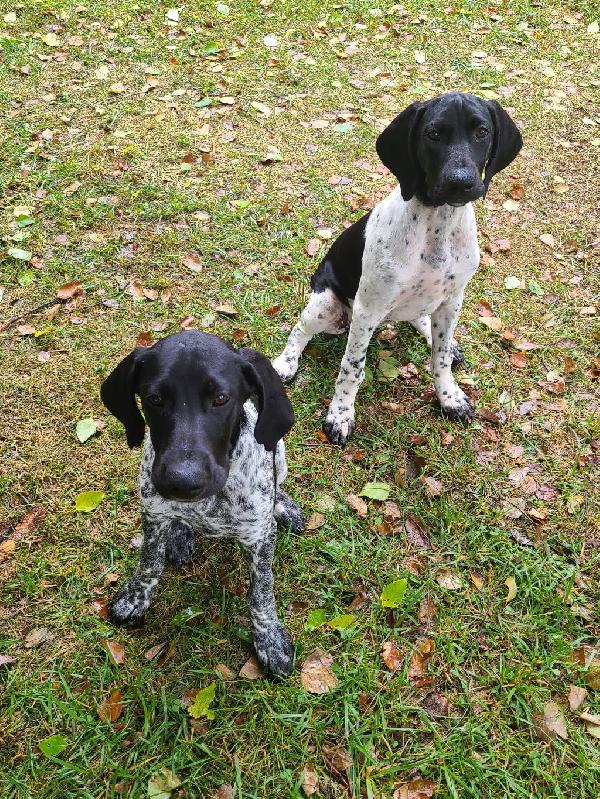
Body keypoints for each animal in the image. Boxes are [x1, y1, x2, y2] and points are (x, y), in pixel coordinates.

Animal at [101, 330, 304, 676]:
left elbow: (261, 591)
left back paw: (284, 505)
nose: (183, 482)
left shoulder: (260, 538)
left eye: (221, 399)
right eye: (154, 399)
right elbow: (149, 561)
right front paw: (137, 597)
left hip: (278, 450)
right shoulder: (152, 512)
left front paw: (269, 638)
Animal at [274, 92, 524, 450]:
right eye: (433, 134)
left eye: (482, 132)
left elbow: (440, 358)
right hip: (326, 305)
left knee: (422, 321)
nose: (461, 183)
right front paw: (340, 415)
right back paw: (286, 363)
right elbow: (352, 368)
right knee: (299, 330)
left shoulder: (452, 299)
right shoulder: (367, 309)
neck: (437, 227)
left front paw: (449, 397)